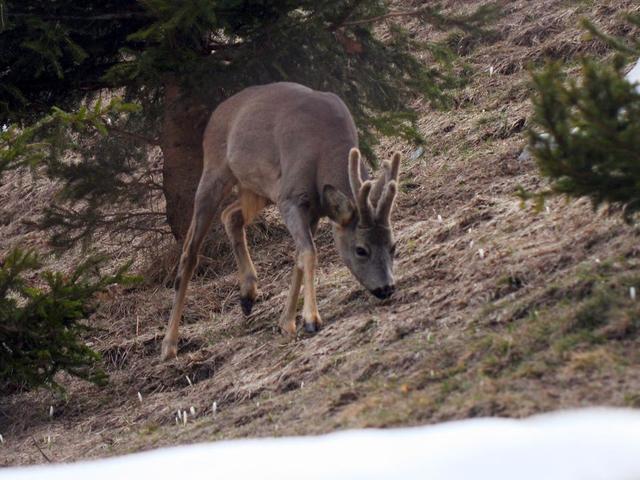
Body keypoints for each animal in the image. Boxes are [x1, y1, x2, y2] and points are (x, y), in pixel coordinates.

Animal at [160, 81, 400, 360]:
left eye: (393, 245)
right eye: (361, 249)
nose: (386, 287)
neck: (323, 151)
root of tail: (217, 113)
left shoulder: (312, 209)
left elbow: (299, 256)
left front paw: (287, 322)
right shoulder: (291, 197)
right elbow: (309, 253)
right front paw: (311, 320)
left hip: (259, 189)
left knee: (230, 215)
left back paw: (248, 294)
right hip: (216, 170)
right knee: (190, 250)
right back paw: (169, 344)